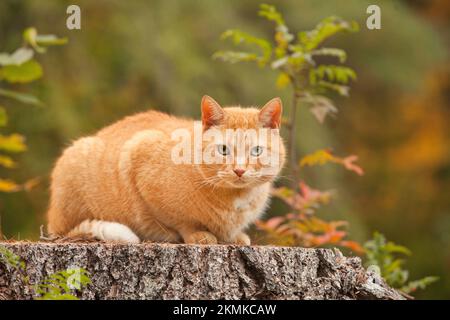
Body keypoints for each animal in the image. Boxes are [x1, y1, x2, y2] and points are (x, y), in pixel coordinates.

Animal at [45, 95, 284, 245]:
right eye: (224, 149)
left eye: (256, 151)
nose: (239, 170)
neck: (237, 200)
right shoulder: (140, 155)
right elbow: (182, 222)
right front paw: (198, 234)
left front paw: (235, 236)